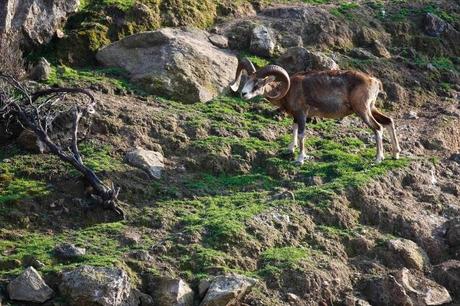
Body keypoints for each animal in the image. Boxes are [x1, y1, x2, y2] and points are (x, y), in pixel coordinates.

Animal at [232, 59, 400, 165]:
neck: (289, 90)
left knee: (378, 128)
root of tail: (375, 81)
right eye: (247, 79)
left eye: (258, 83)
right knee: (388, 121)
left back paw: (378, 159)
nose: (243, 94)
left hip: (363, 111)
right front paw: (289, 150)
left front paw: (300, 159)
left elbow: (301, 135)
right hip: (371, 108)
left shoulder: (302, 115)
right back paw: (395, 154)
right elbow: (294, 130)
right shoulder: (296, 117)